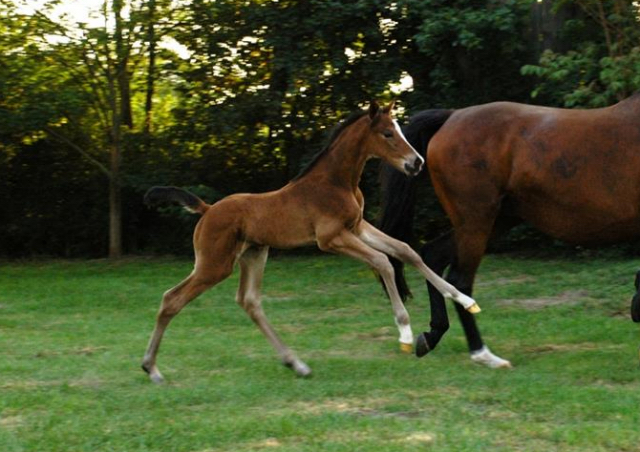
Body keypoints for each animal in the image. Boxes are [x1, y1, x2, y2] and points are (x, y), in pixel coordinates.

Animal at [141, 100, 480, 384]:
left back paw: (297, 364)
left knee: (249, 302)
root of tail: (207, 209)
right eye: (387, 133)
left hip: (254, 254)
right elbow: (382, 262)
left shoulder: (358, 227)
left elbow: (406, 251)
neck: (337, 182)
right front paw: (406, 334)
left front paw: (464, 299)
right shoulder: (331, 238)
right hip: (214, 264)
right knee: (172, 299)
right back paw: (151, 368)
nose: (417, 163)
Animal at [380, 94, 640, 368]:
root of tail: (453, 116)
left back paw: (432, 335)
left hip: (494, 221)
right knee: (460, 281)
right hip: (477, 222)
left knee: (433, 257)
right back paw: (484, 355)